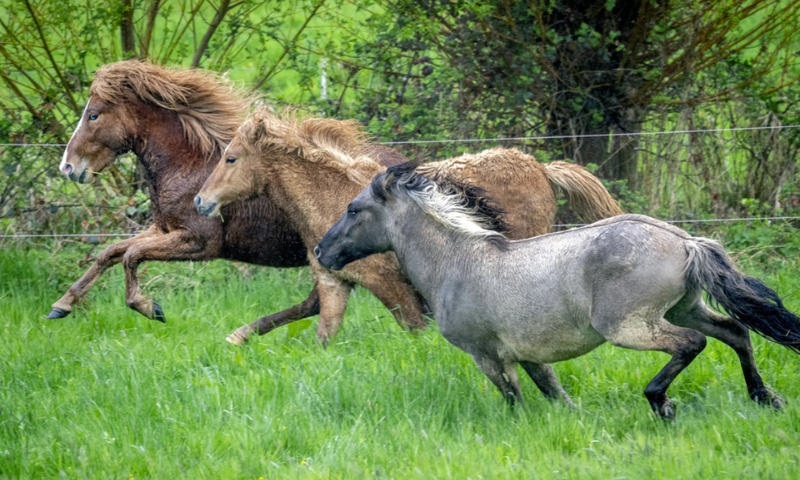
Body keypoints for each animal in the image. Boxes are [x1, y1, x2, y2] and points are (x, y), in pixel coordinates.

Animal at [50, 58, 406, 330]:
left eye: (93, 114)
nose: (67, 167)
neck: (190, 166)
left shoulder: (198, 242)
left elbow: (131, 255)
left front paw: (150, 308)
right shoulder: (163, 230)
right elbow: (110, 252)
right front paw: (61, 305)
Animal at [195, 106, 624, 344]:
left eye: (231, 158)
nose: (201, 201)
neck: (331, 199)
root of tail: (541, 167)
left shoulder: (392, 287)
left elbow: (417, 332)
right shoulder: (335, 285)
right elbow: (319, 333)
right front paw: (237, 338)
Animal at [314, 161, 800, 416]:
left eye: (354, 209)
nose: (321, 251)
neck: (457, 263)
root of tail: (685, 241)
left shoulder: (486, 355)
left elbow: (514, 400)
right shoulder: (528, 354)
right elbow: (555, 395)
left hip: (629, 326)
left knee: (691, 343)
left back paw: (661, 403)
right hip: (684, 307)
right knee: (736, 333)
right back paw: (766, 399)